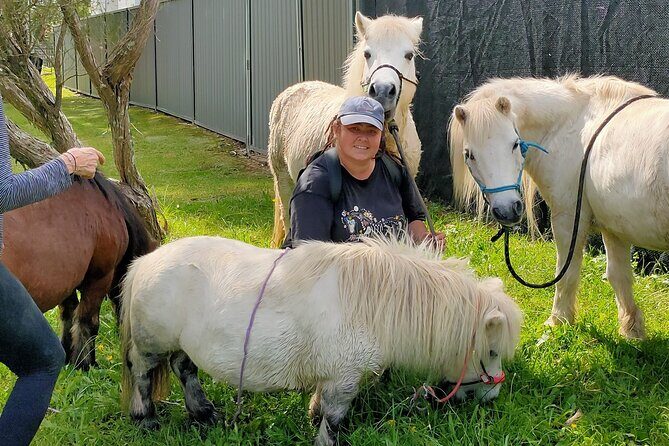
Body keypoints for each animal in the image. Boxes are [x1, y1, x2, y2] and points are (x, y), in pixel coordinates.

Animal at [1, 173, 157, 369]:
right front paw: (85, 364)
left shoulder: (65, 281)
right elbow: (88, 321)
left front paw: (68, 357)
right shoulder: (100, 279)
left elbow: (69, 315)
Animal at [120, 236, 522, 446]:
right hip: (151, 343)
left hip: (181, 345)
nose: (493, 396)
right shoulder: (343, 381)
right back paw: (145, 419)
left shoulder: (333, 377)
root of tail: (145, 261)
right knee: (142, 373)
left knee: (184, 368)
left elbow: (322, 408)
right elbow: (334, 418)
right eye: (490, 351)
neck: (372, 301)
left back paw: (202, 412)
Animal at [448, 74, 669, 340]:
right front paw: (632, 330)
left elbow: (568, 272)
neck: (573, 128)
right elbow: (619, 276)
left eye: (514, 144)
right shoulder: (615, 227)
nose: (508, 210)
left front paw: (559, 320)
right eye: (470, 155)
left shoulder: (568, 219)